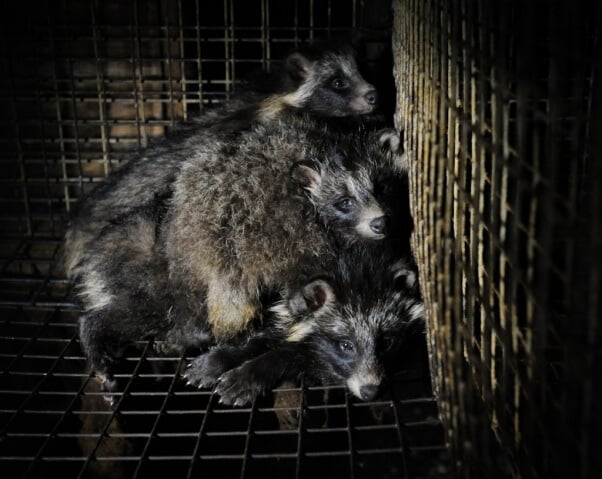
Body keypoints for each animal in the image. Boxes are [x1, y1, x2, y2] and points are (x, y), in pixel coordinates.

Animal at [183, 246, 422, 406]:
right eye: (346, 345)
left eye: (387, 342)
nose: (370, 392)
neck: (352, 269)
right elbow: (265, 337)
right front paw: (224, 357)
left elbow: (294, 356)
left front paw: (252, 372)